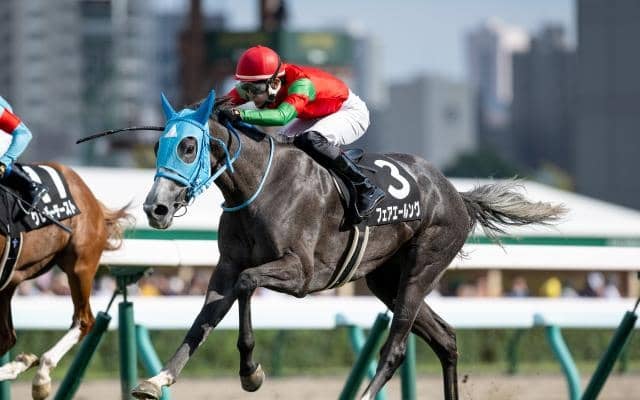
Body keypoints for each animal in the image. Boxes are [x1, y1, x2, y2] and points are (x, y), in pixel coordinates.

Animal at [0, 162, 130, 400]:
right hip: (10, 281)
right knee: (6, 338)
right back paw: (22, 363)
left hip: (80, 266)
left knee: (84, 321)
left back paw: (40, 375)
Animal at [132, 91, 566, 400]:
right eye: (157, 148)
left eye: (188, 146)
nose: (155, 208)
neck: (260, 186)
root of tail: (455, 194)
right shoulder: (225, 267)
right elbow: (203, 320)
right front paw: (157, 378)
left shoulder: (301, 273)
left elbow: (247, 284)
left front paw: (251, 373)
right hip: (385, 280)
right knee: (446, 338)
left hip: (423, 266)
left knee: (396, 347)